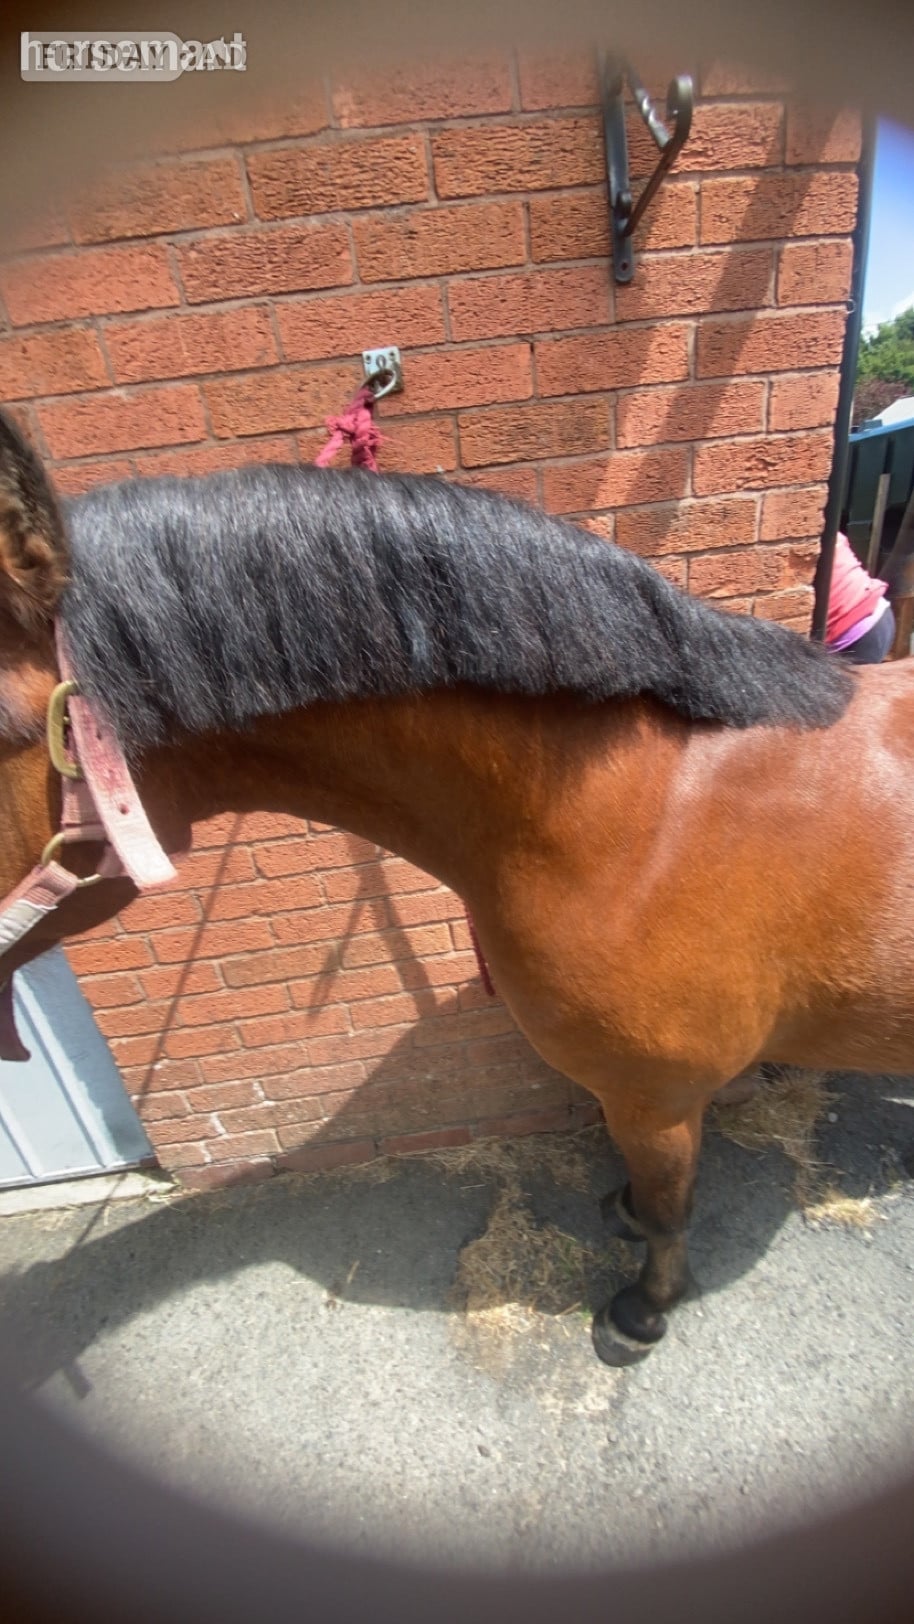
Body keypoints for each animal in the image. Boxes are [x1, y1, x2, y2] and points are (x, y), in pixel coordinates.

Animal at [1, 405, 912, 1368]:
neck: (644, 816)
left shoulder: (658, 1100)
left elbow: (671, 1211)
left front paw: (642, 1311)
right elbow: (644, 1197)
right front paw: (621, 1217)